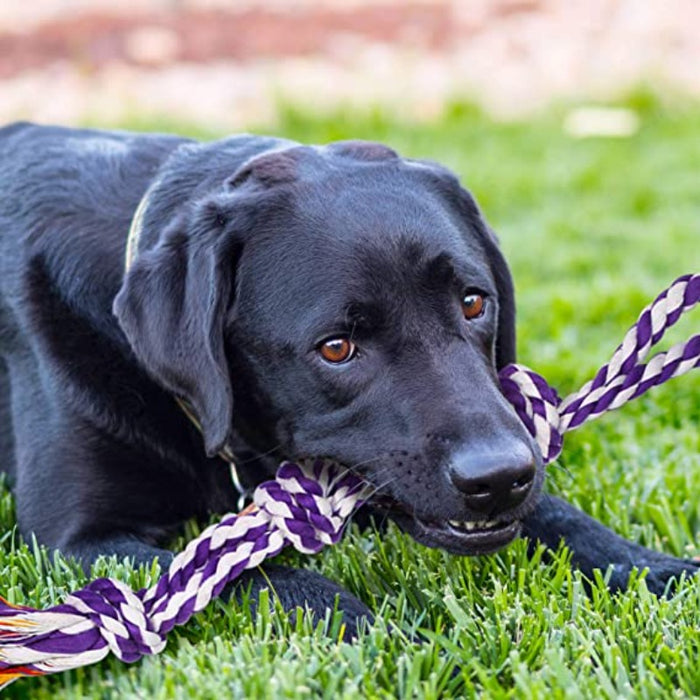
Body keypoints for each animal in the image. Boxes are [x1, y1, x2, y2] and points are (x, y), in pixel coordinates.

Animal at [0, 123, 696, 632]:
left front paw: (653, 568)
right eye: (337, 348)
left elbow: (562, 516)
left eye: (474, 303)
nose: (500, 478)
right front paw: (374, 630)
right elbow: (245, 573)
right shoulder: (75, 540)